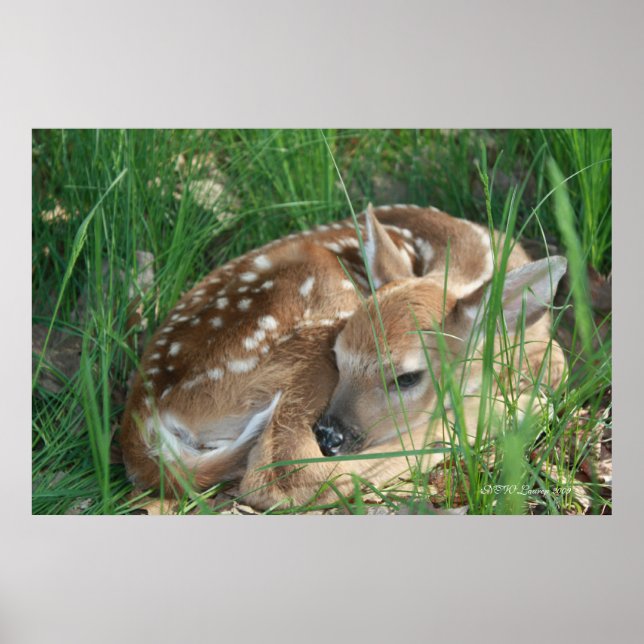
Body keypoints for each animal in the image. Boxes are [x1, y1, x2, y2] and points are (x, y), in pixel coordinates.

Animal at [120, 204, 567, 510]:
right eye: (339, 356)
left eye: (407, 377)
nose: (329, 434)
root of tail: (143, 413)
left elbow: (558, 363)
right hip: (320, 306)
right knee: (279, 471)